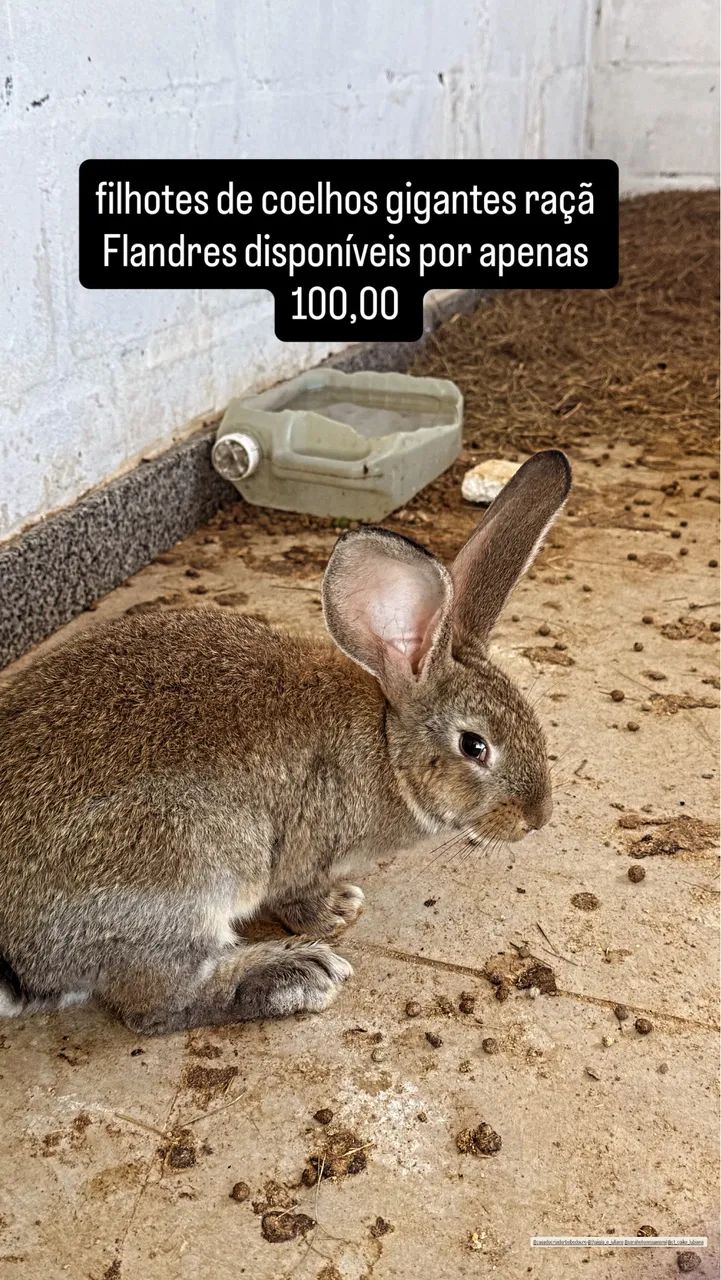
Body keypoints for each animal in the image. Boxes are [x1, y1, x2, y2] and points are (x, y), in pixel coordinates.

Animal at [0, 449, 570, 1035]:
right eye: (474, 746)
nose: (538, 817)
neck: (388, 747)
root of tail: (21, 960)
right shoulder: (305, 850)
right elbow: (296, 898)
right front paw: (335, 912)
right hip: (188, 867)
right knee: (155, 1004)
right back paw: (295, 976)